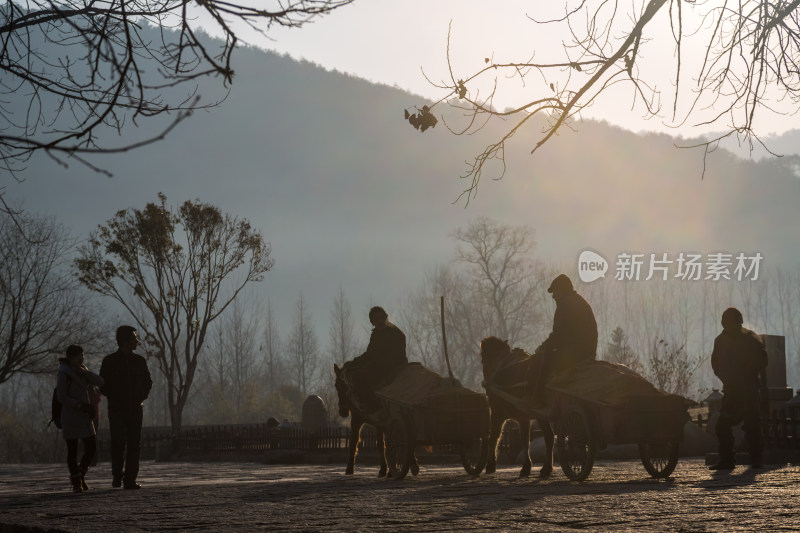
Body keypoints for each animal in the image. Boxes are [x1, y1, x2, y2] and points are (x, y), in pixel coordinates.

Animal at [478, 334, 552, 476]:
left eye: (483, 357)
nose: (486, 383)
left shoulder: (496, 412)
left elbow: (494, 436)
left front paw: (490, 464)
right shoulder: (524, 418)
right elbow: (525, 440)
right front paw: (526, 466)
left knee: (549, 437)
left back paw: (546, 468)